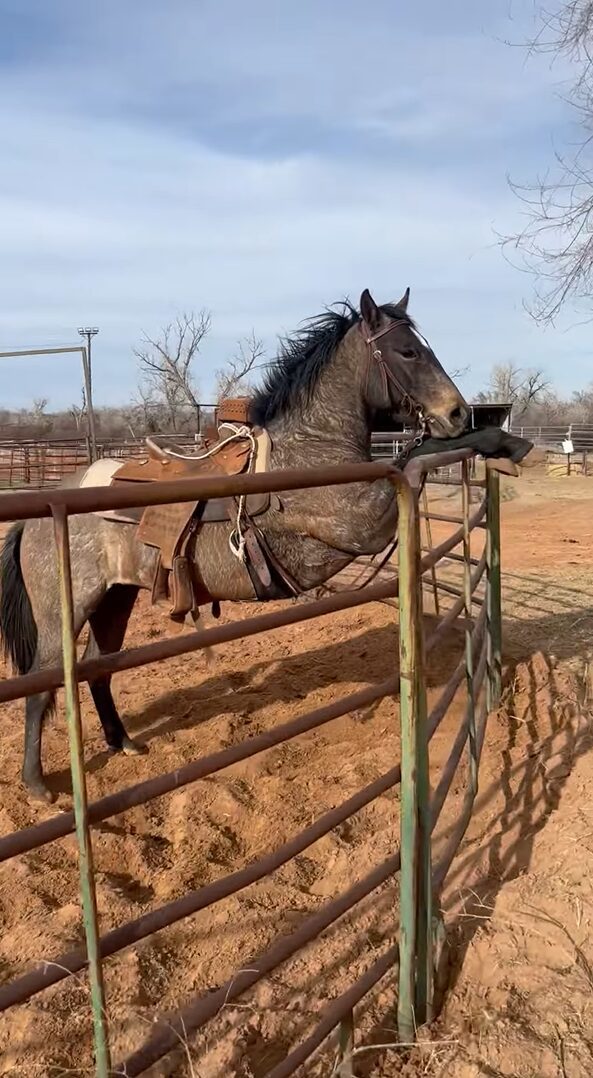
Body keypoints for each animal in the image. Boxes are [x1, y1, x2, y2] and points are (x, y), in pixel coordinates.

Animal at [0, 286, 470, 802]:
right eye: (408, 351)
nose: (459, 413)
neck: (307, 449)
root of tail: (35, 520)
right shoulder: (358, 526)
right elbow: (409, 467)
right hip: (65, 611)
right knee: (41, 686)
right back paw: (37, 785)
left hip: (114, 599)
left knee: (97, 669)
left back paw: (123, 742)